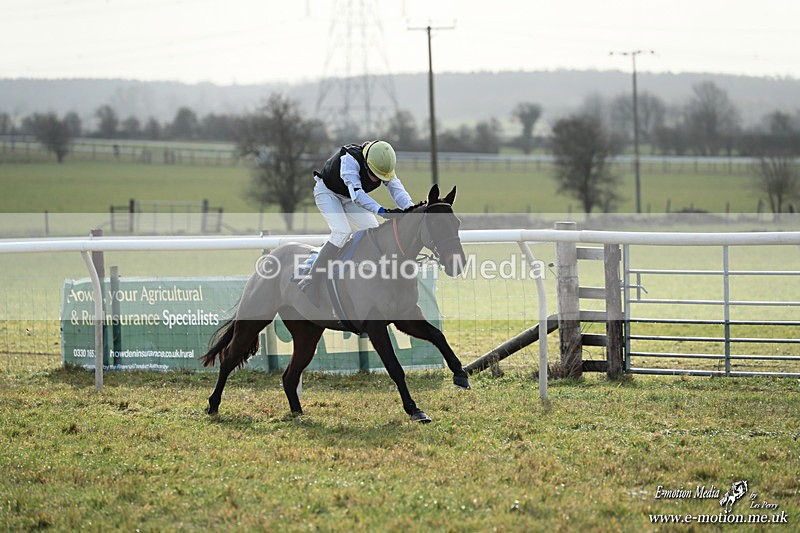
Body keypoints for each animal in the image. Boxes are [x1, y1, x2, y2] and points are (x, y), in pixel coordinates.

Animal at [200, 184, 471, 423]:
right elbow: (395, 367)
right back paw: (213, 405)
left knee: (290, 375)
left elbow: (437, 336)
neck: (387, 261)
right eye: (436, 223)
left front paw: (460, 374)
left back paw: (298, 413)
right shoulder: (375, 326)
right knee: (229, 358)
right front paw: (414, 409)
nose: (457, 263)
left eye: (456, 223)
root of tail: (269, 258)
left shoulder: (405, 316)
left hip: (307, 332)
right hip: (254, 318)